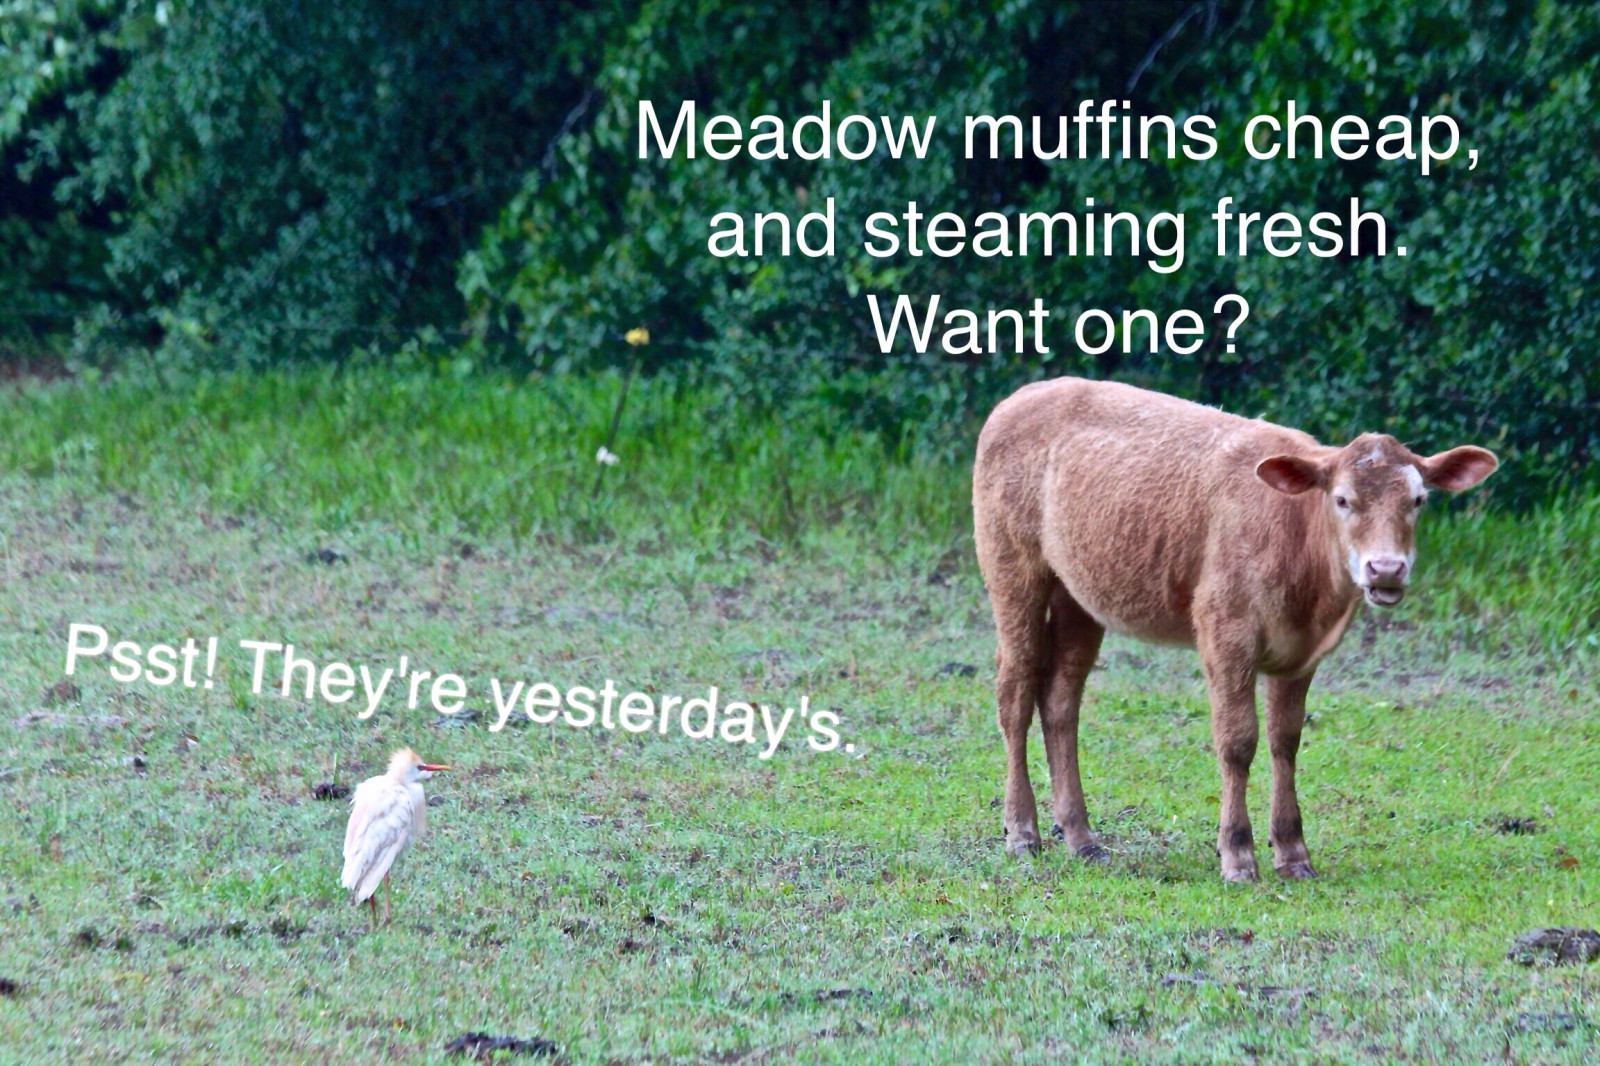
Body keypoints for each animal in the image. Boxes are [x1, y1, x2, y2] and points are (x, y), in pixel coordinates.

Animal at [971, 377, 1498, 881]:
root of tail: (1022, 396)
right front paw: (1238, 854)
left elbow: (1286, 740)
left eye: (1418, 500)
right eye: (1343, 499)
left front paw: (1292, 852)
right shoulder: (1224, 629)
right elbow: (1238, 740)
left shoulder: (1300, 652)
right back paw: (1022, 831)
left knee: (1061, 698)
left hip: (1079, 593)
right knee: (1015, 690)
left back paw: (1082, 837)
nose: (1385, 569)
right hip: (1012, 563)